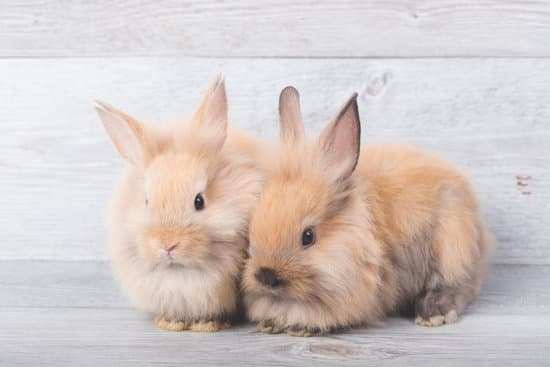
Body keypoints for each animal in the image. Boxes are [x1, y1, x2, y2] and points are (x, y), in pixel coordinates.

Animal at [94, 75, 266, 334]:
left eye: (199, 201)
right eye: (147, 201)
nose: (168, 246)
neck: (180, 271)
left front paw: (207, 325)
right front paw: (170, 323)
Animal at [244, 87, 494, 338]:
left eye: (308, 236)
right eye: (252, 231)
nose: (266, 276)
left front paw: (301, 326)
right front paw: (271, 323)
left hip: (453, 248)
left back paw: (433, 313)